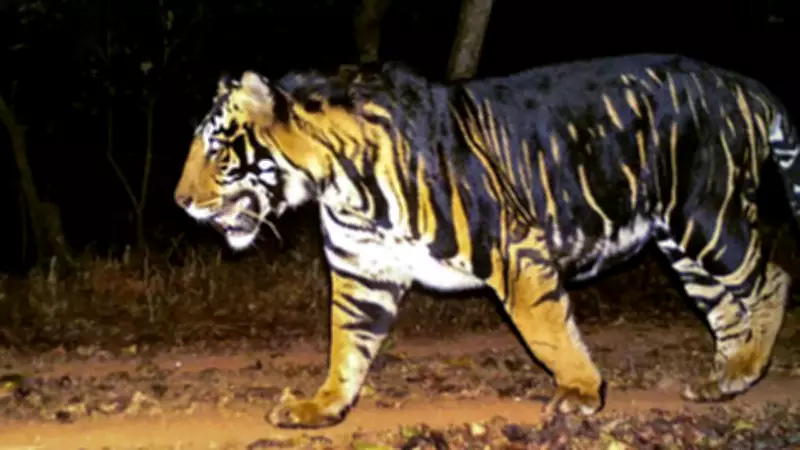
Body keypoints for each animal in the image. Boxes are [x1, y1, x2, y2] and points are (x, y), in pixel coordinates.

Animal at [174, 53, 798, 429]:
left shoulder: (514, 249)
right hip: (682, 246)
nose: (180, 202)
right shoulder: (361, 273)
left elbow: (548, 332)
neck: (339, 186)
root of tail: (741, 81)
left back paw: (745, 367)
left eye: (216, 149)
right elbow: (346, 346)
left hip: (707, 216)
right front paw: (320, 406)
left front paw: (580, 392)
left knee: (771, 279)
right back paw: (726, 381)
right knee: (727, 309)